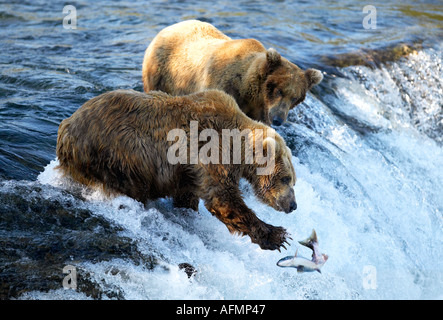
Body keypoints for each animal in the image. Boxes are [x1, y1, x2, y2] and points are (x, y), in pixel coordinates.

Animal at [56, 89, 298, 251]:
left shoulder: (189, 171)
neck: (238, 147)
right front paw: (278, 235)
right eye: (286, 179)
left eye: (292, 180)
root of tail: (65, 128)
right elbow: (223, 199)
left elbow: (189, 196)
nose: (293, 205)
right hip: (119, 153)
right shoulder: (211, 149)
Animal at [144, 19, 324, 127]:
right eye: (279, 91)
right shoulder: (222, 86)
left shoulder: (259, 109)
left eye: (295, 98)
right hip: (162, 72)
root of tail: (168, 27)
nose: (278, 120)